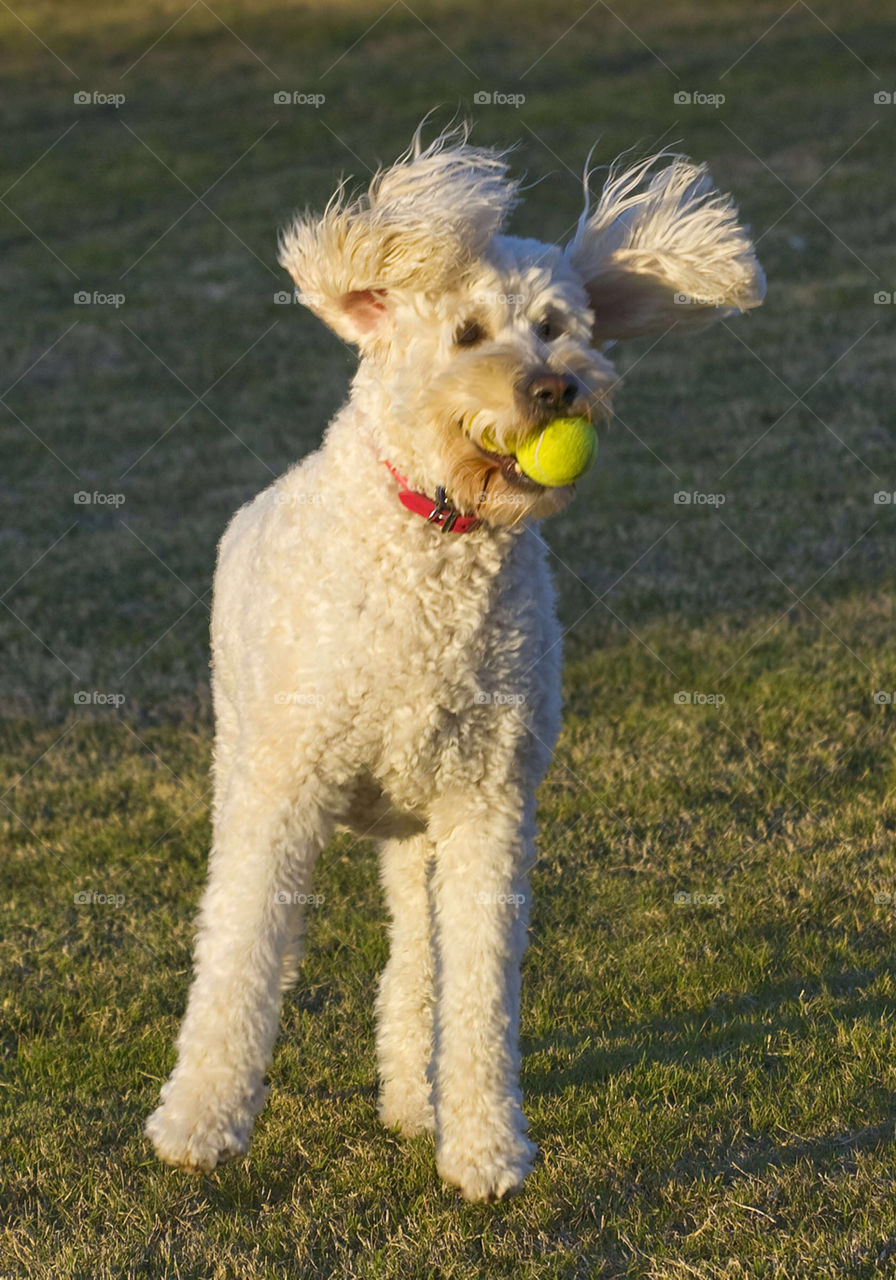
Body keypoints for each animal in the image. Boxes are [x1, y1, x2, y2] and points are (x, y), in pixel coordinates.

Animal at [147, 127, 762, 1198]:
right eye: (469, 333)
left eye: (558, 327)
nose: (554, 388)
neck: (435, 541)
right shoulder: (284, 792)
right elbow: (241, 954)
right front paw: (198, 1125)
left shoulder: (488, 803)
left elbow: (475, 983)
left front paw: (482, 1146)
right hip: (251, 753)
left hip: (418, 820)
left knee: (416, 958)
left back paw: (413, 1097)